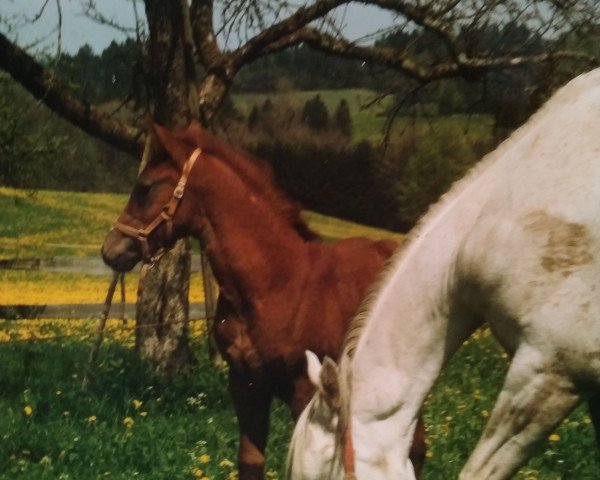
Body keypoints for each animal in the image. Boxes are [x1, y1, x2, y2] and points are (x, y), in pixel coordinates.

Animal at [99, 121, 426, 480]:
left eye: (145, 188)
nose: (110, 249)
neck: (275, 283)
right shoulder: (246, 384)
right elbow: (251, 460)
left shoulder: (305, 389)